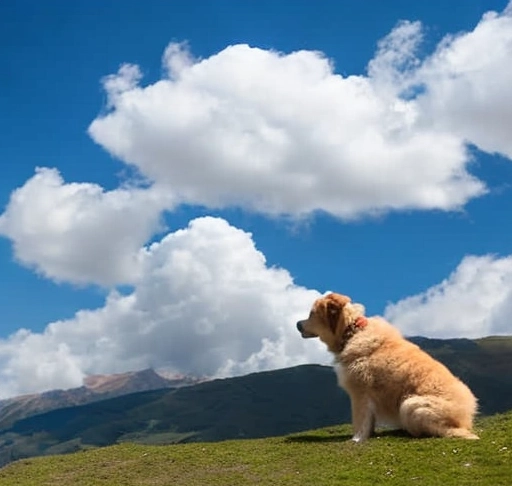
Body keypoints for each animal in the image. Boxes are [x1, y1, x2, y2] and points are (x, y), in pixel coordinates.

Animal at [296, 292, 480, 440]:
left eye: (311, 314)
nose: (297, 324)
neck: (352, 332)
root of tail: (467, 416)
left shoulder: (359, 392)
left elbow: (360, 421)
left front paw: (356, 440)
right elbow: (369, 422)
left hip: (409, 404)